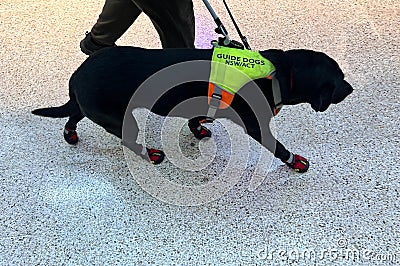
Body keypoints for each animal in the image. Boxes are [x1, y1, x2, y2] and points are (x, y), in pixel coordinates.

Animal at [34, 46, 354, 172]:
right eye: (339, 79)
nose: (351, 89)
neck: (277, 74)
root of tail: (78, 73)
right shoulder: (257, 127)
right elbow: (278, 147)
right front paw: (295, 161)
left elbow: (198, 118)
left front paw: (198, 129)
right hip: (119, 118)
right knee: (128, 140)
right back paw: (151, 154)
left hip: (93, 107)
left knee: (74, 114)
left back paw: (70, 133)